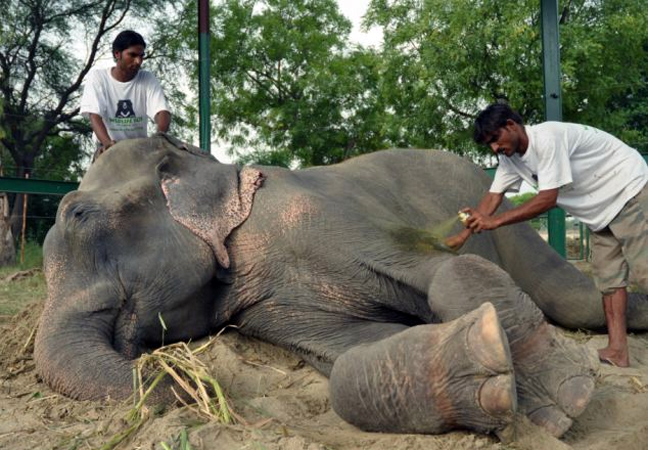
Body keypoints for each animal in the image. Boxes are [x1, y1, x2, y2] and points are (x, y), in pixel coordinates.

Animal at [33, 134, 648, 440]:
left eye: (79, 215)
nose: (187, 386)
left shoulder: (324, 216)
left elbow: (438, 268)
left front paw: (566, 401)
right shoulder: (266, 304)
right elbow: (352, 352)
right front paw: (486, 373)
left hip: (512, 225)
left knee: (576, 300)